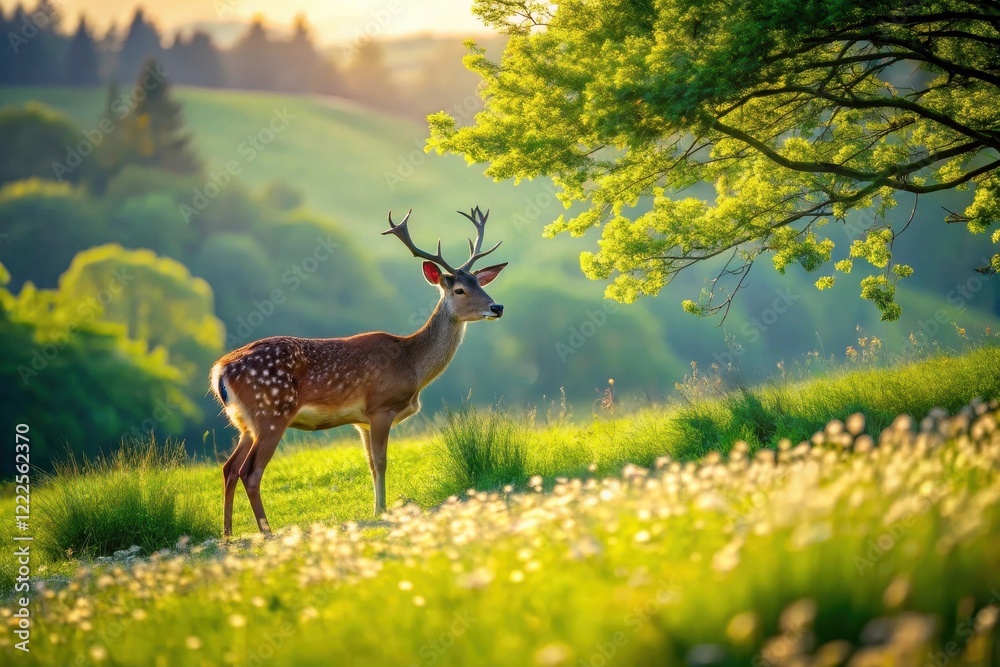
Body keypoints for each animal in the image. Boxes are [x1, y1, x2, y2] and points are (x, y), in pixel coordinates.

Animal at [209, 206, 507, 537]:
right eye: (459, 289)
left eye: (482, 284)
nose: (497, 307)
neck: (412, 363)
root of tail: (220, 370)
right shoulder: (380, 407)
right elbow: (382, 461)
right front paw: (383, 510)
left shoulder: (360, 421)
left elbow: (370, 464)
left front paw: (377, 507)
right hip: (271, 413)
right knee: (250, 471)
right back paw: (266, 532)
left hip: (244, 423)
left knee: (229, 467)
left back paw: (227, 533)